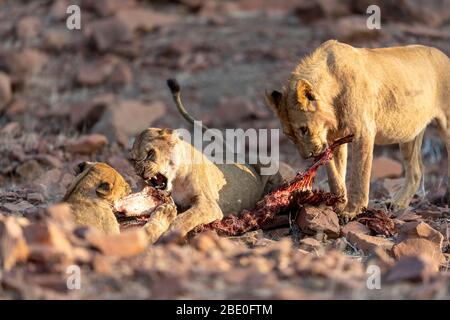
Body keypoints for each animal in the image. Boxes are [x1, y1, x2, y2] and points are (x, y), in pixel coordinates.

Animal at [266, 39, 450, 220]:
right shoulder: (333, 138)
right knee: (416, 170)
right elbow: (334, 173)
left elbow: (359, 174)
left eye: (304, 129)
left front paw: (352, 211)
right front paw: (338, 202)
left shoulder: (364, 131)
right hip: (409, 134)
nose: (308, 156)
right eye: (289, 136)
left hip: (446, 125)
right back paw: (397, 203)